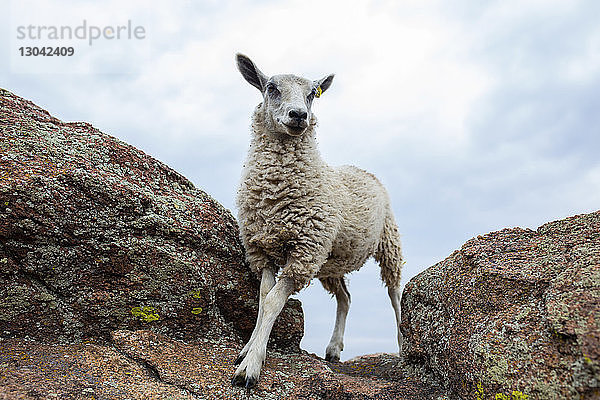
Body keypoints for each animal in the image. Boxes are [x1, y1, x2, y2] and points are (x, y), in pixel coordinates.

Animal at [231, 53, 404, 388]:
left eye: (312, 93)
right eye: (271, 87)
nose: (299, 115)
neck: (276, 193)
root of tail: (360, 168)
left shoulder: (303, 252)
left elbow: (273, 302)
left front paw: (250, 366)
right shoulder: (262, 250)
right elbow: (263, 299)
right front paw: (249, 348)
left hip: (388, 242)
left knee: (394, 294)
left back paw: (405, 345)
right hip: (330, 260)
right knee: (346, 298)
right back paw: (333, 349)